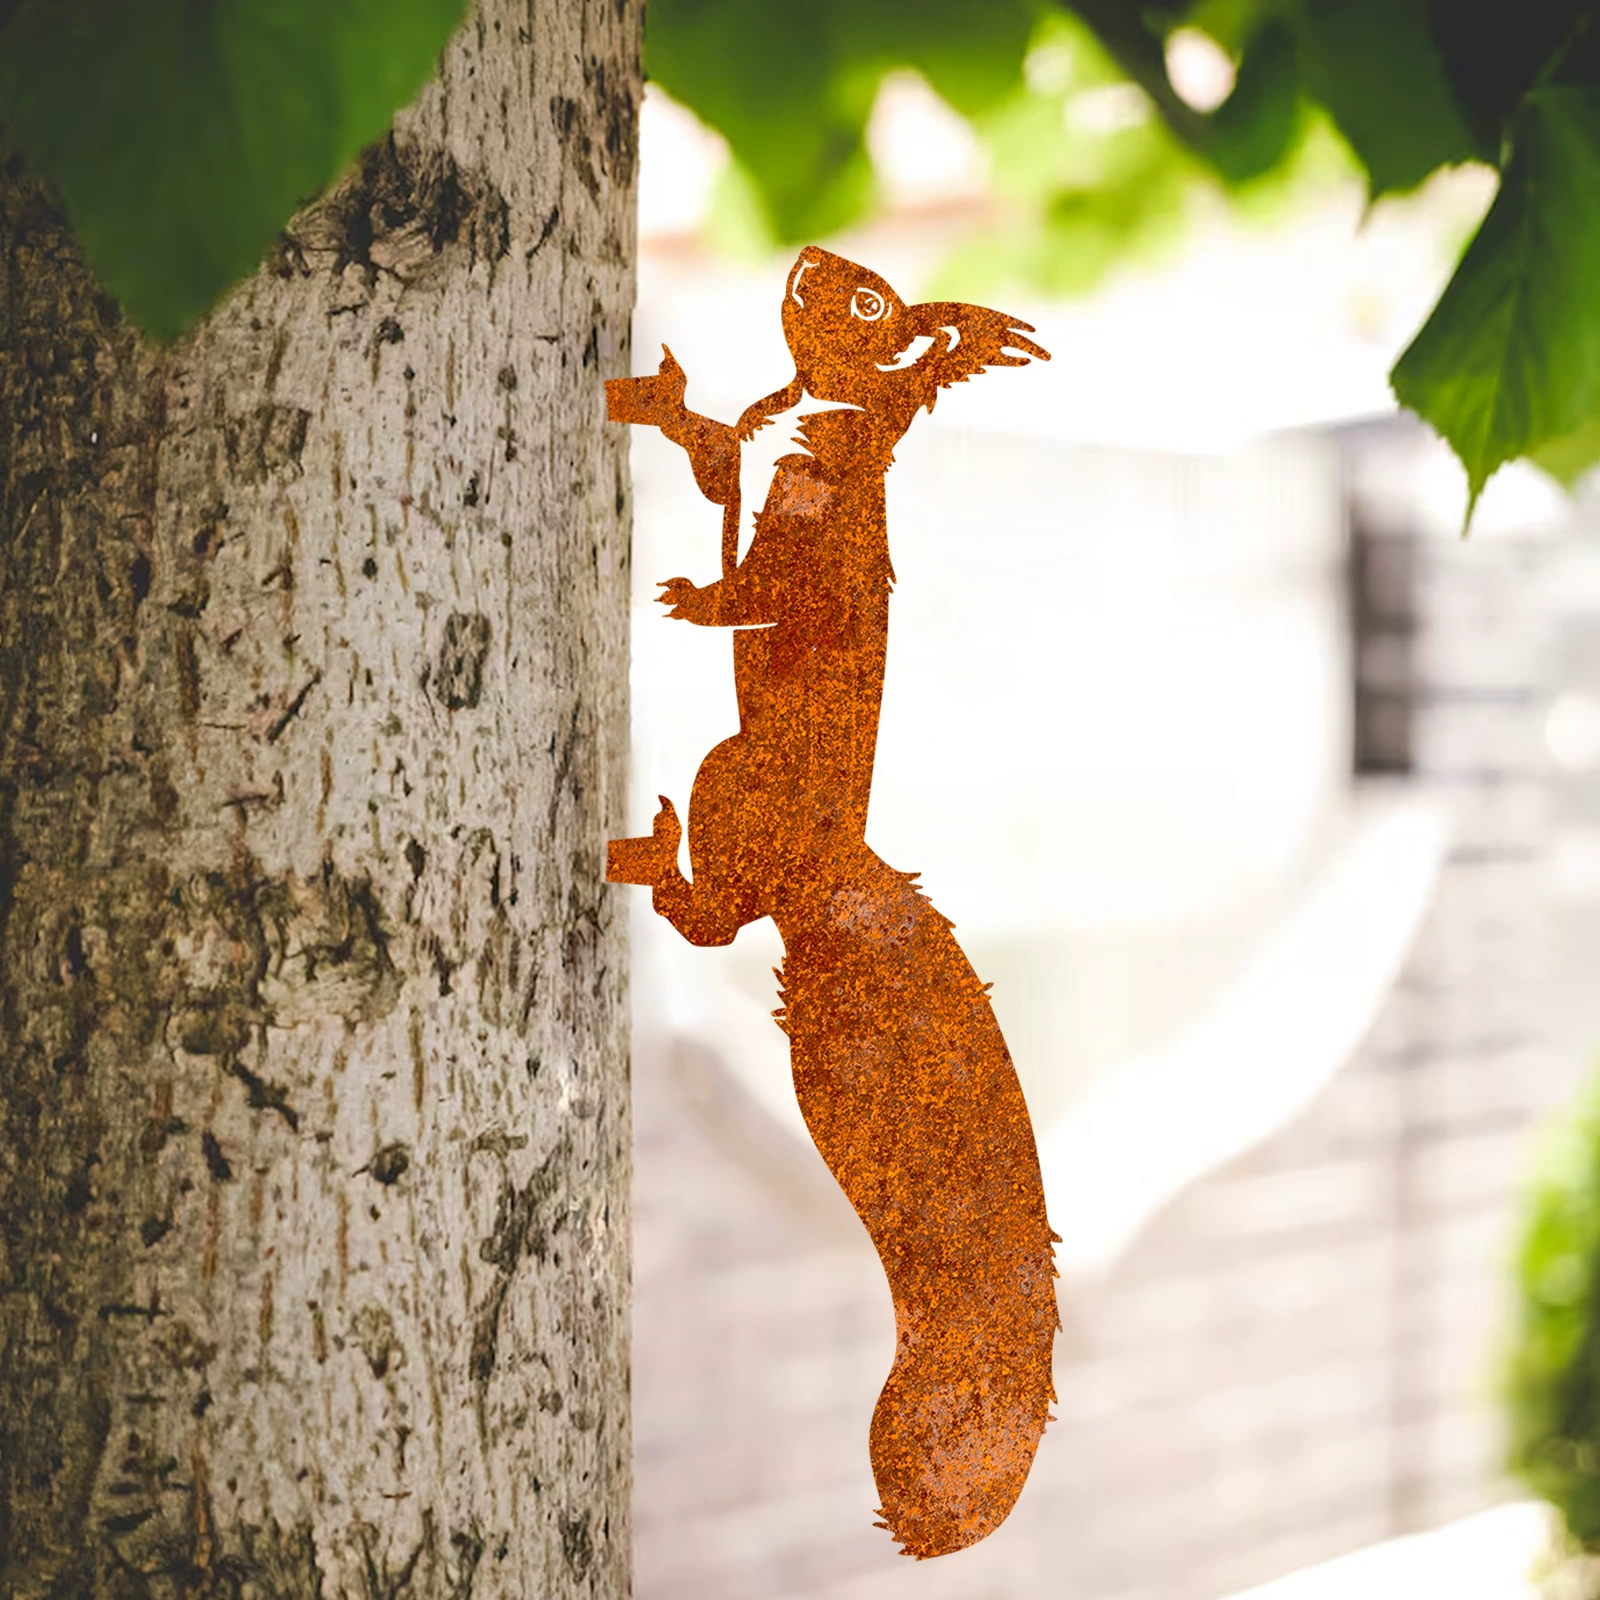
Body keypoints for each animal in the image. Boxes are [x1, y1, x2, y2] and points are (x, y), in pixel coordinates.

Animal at [607, 248, 1059, 1560]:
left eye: (869, 304)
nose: (808, 260)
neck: (811, 407)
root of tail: (826, 873)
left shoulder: (814, 513)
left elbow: (766, 586)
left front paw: (692, 598)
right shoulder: (757, 452)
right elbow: (715, 457)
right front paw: (676, 412)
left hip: (735, 775)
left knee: (718, 912)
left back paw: (660, 856)